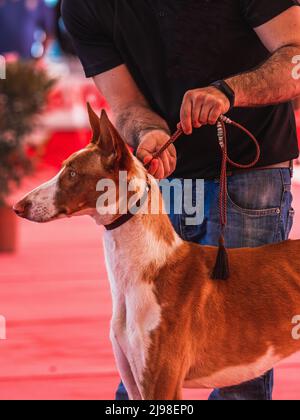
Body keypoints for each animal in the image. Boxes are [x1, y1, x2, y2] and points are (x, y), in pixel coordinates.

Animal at [14, 105, 300, 400]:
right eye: (63, 168)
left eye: (72, 173)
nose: (18, 206)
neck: (147, 270)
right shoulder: (133, 382)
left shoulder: (163, 384)